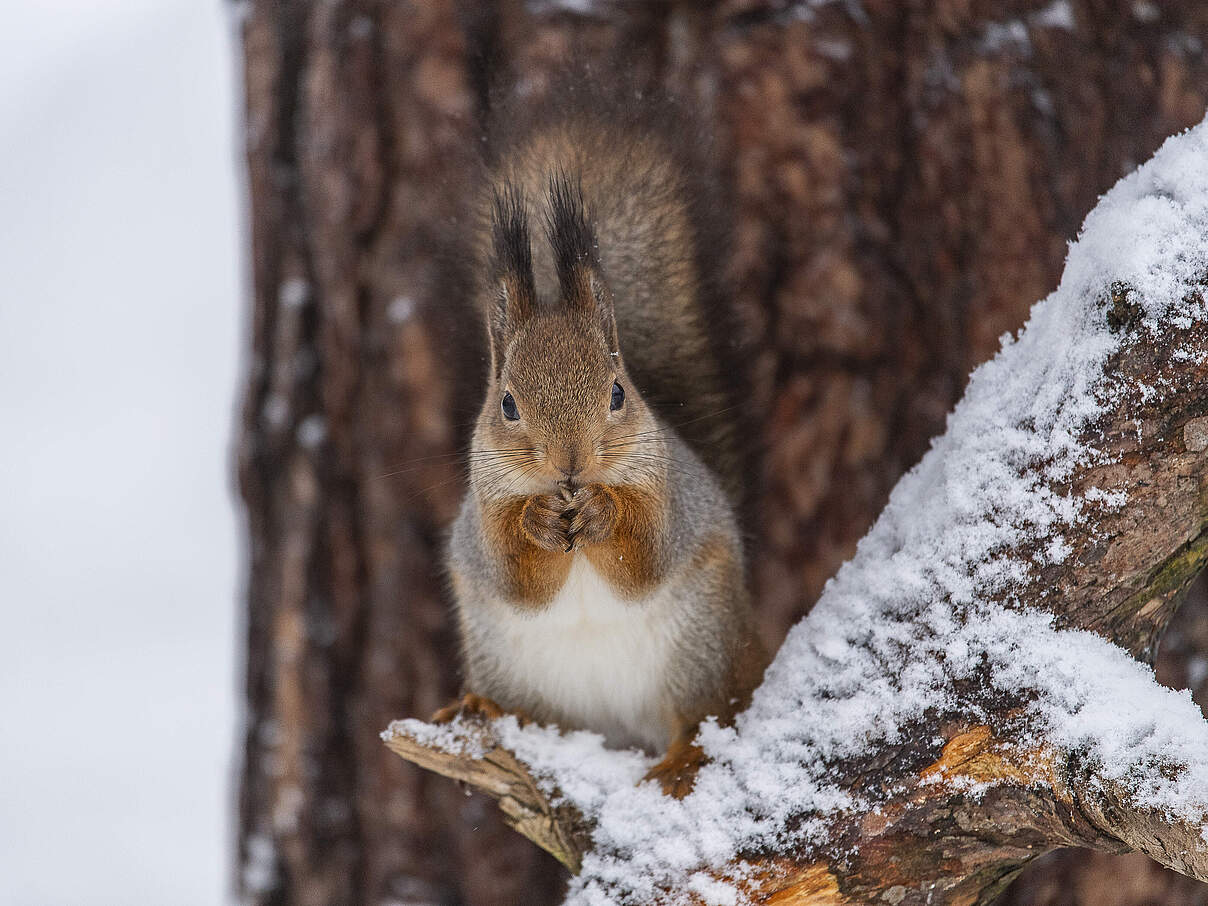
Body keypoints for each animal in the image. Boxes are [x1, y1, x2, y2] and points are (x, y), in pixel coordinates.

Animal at [433, 82, 767, 795]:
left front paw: (602, 511)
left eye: (617, 392)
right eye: (507, 404)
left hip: (701, 649)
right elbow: (515, 572)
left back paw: (683, 760)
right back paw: (481, 706)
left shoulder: (671, 498)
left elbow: (642, 556)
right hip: (507, 662)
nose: (571, 464)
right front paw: (537, 520)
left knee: (703, 715)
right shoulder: (482, 518)